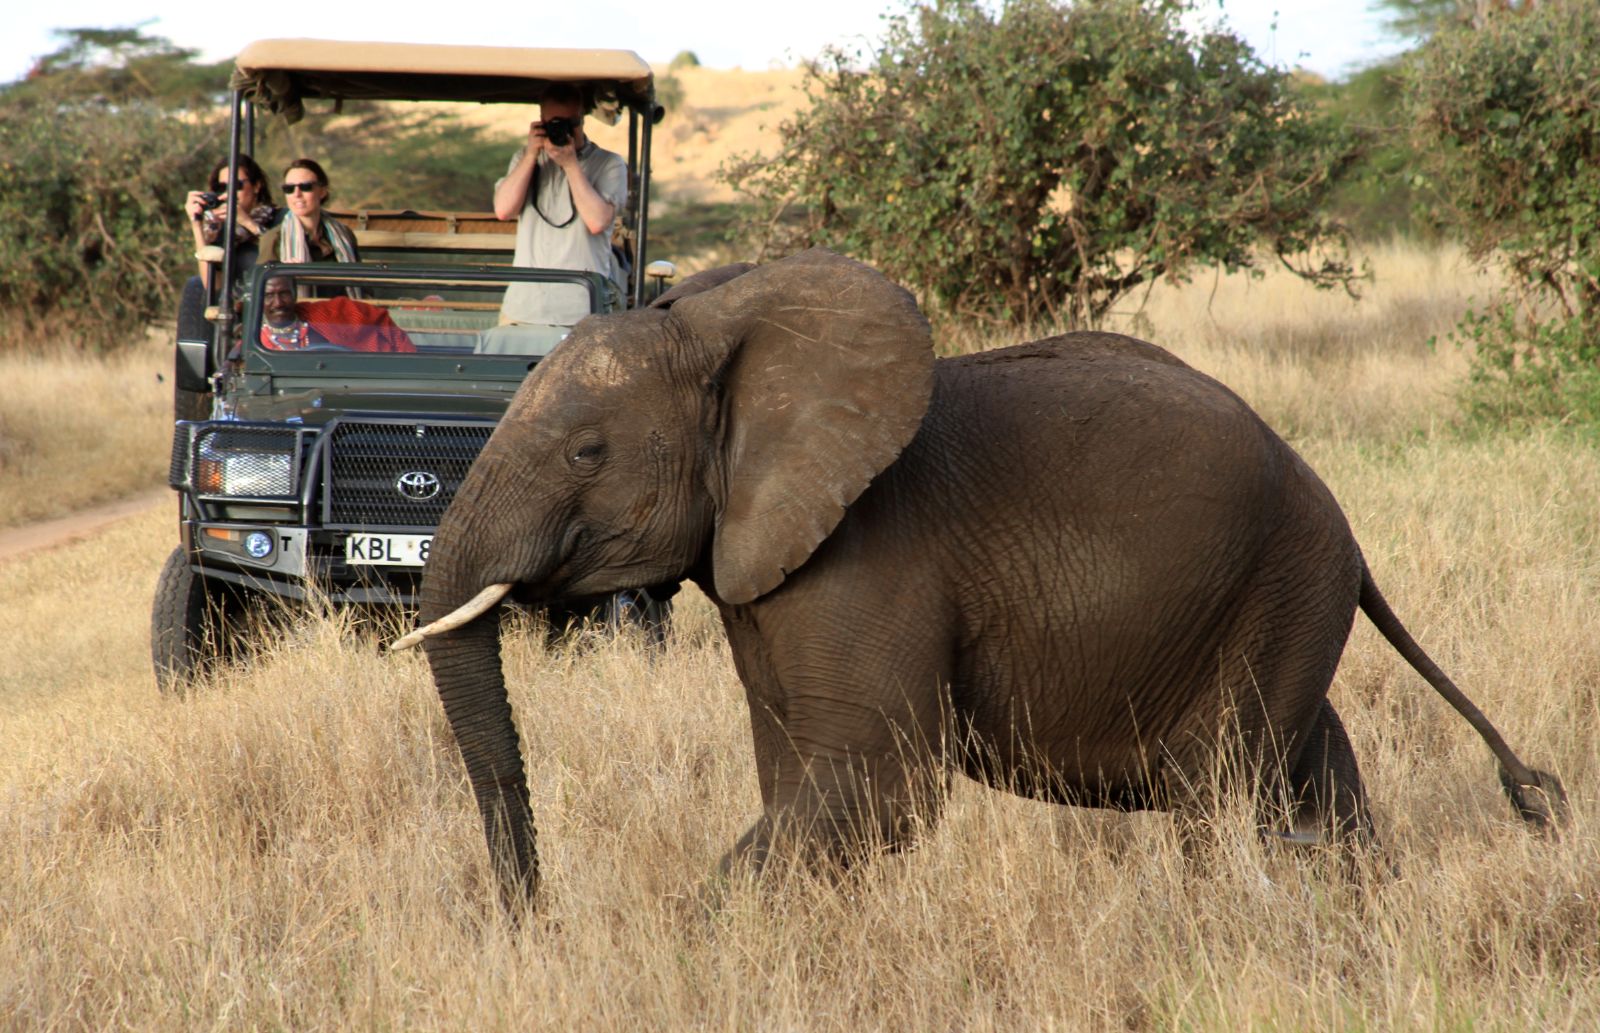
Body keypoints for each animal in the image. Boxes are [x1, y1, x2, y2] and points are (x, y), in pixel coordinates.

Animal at [393, 246, 1568, 908]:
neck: (731, 332)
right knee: (1309, 776)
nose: (531, 916)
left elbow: (879, 788)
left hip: (1280, 583)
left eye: (585, 452)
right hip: (1285, 598)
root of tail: (1345, 527)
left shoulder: (872, 558)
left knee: (1218, 797)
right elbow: (795, 775)